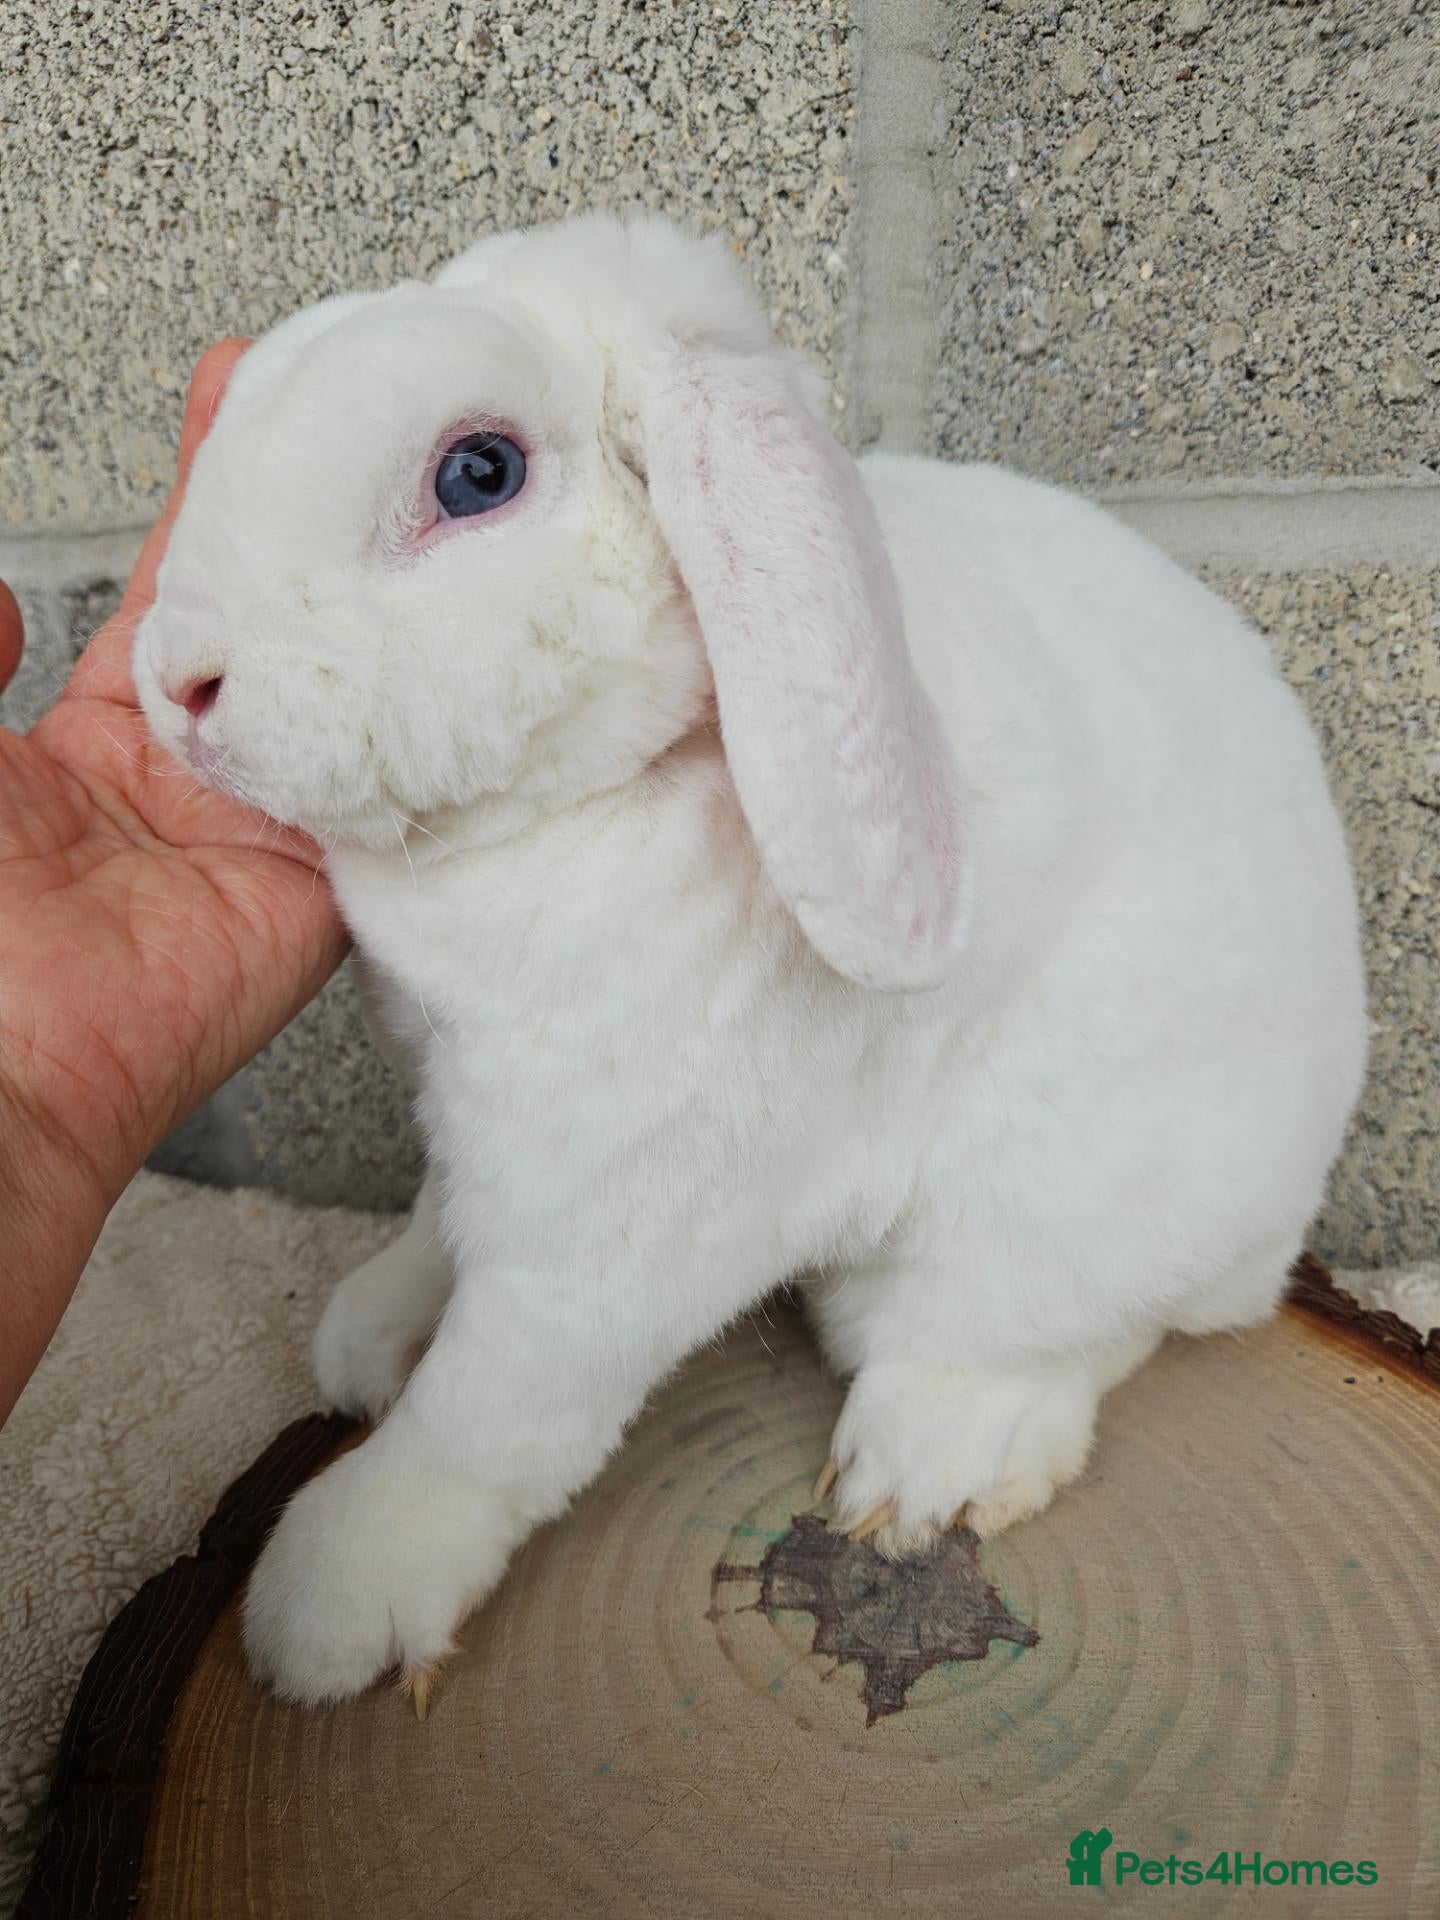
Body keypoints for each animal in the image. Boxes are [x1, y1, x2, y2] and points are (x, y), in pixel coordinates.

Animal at [134, 208, 1366, 1708]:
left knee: (1064, 1327)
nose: (177, 680)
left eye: (478, 473)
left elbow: (491, 1406)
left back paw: (935, 1465)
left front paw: (335, 1596)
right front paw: (370, 1334)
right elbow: (437, 1235)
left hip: (1074, 1204)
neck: (578, 801)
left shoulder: (618, 1212)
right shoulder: (471, 1124)